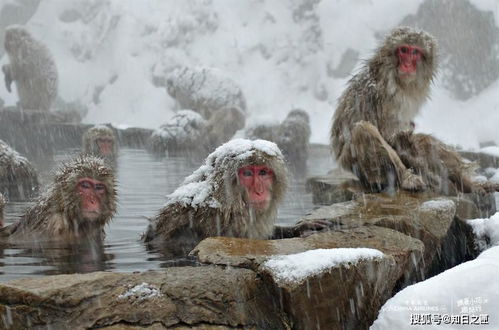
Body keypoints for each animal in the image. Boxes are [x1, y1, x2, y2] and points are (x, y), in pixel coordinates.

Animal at [332, 27, 438, 192]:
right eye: (403, 50)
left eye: (415, 52)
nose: (407, 64)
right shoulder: (386, 97)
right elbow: (389, 135)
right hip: (352, 161)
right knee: (363, 130)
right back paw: (395, 179)